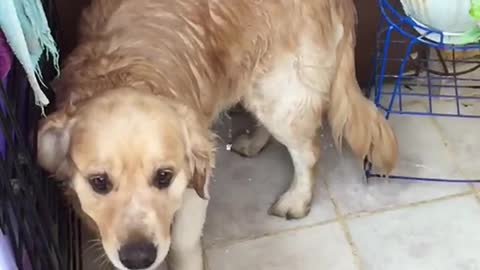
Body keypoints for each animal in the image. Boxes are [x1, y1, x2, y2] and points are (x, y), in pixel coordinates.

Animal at [36, 0, 398, 270]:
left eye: (164, 176)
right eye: (99, 182)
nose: (138, 258)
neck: (119, 75)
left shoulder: (193, 190)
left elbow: (182, 244)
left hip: (281, 93)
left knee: (307, 151)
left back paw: (296, 199)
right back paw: (254, 142)